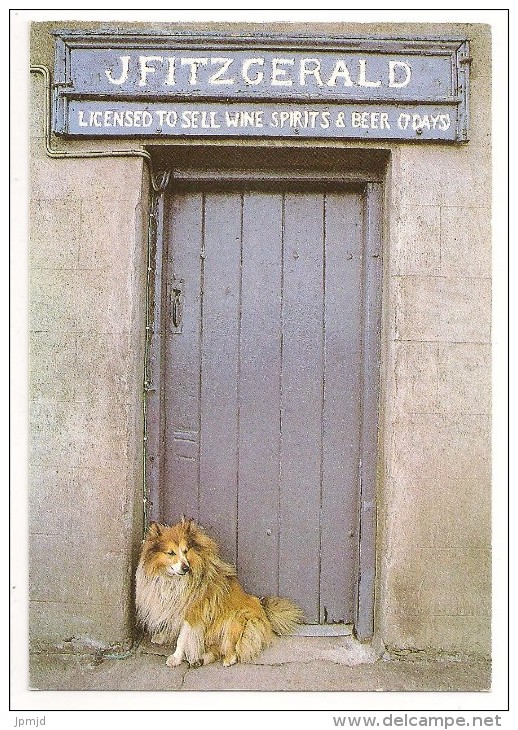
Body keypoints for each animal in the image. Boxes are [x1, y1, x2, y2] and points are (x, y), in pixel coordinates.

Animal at [136, 516, 304, 664]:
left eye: (185, 551)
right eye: (170, 553)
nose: (186, 568)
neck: (171, 580)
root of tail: (264, 612)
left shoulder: (191, 612)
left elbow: (182, 638)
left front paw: (175, 658)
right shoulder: (172, 606)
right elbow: (171, 625)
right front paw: (162, 636)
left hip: (233, 621)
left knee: (232, 648)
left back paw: (227, 660)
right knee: (217, 650)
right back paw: (201, 659)